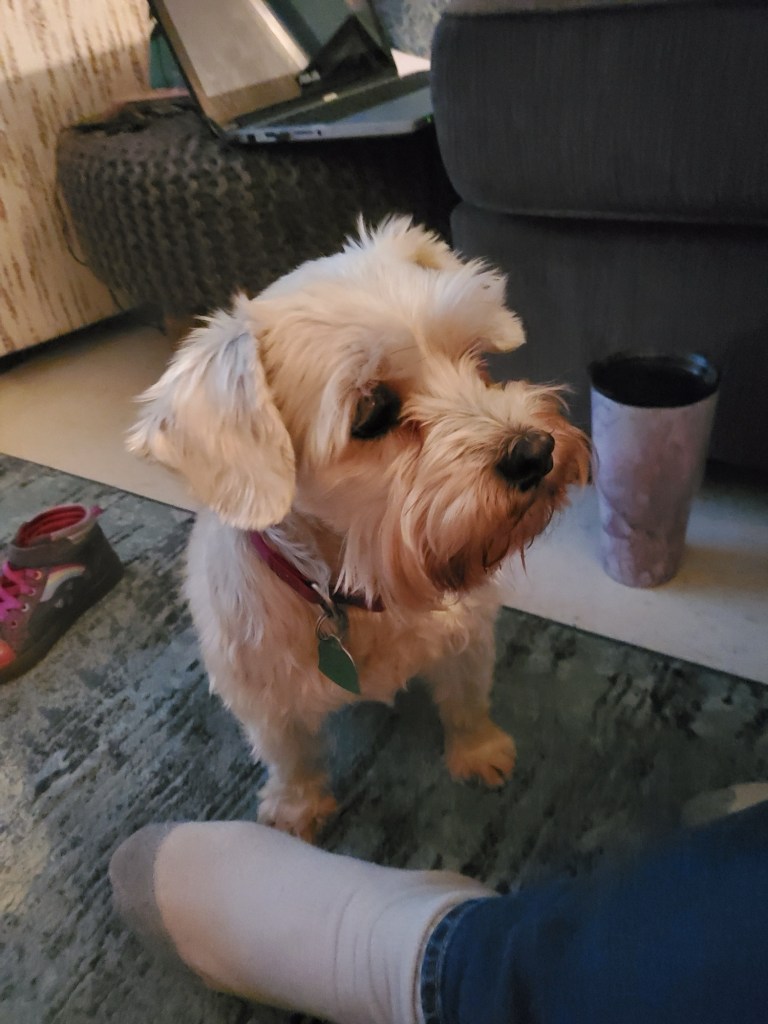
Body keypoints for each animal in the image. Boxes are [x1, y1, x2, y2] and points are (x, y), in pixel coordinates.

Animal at [128, 218, 590, 839]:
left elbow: (466, 700)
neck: (357, 581)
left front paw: (479, 751)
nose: (535, 452)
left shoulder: (466, 635)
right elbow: (291, 755)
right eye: (372, 414)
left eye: (476, 357)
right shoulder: (265, 696)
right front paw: (297, 810)